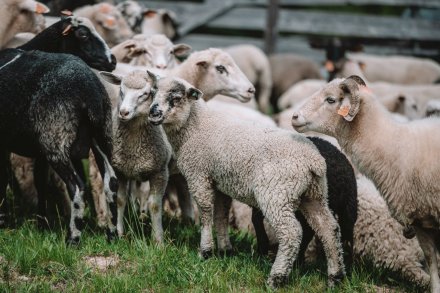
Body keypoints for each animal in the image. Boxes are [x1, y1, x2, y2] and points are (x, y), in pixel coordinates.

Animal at [149, 74, 348, 288]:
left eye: (176, 98)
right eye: (153, 93)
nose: (153, 113)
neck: (195, 126)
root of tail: (313, 161)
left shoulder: (198, 175)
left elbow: (205, 213)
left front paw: (205, 251)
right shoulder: (221, 181)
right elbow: (221, 215)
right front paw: (225, 250)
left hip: (277, 195)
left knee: (292, 233)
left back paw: (276, 278)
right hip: (314, 194)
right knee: (329, 228)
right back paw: (335, 277)